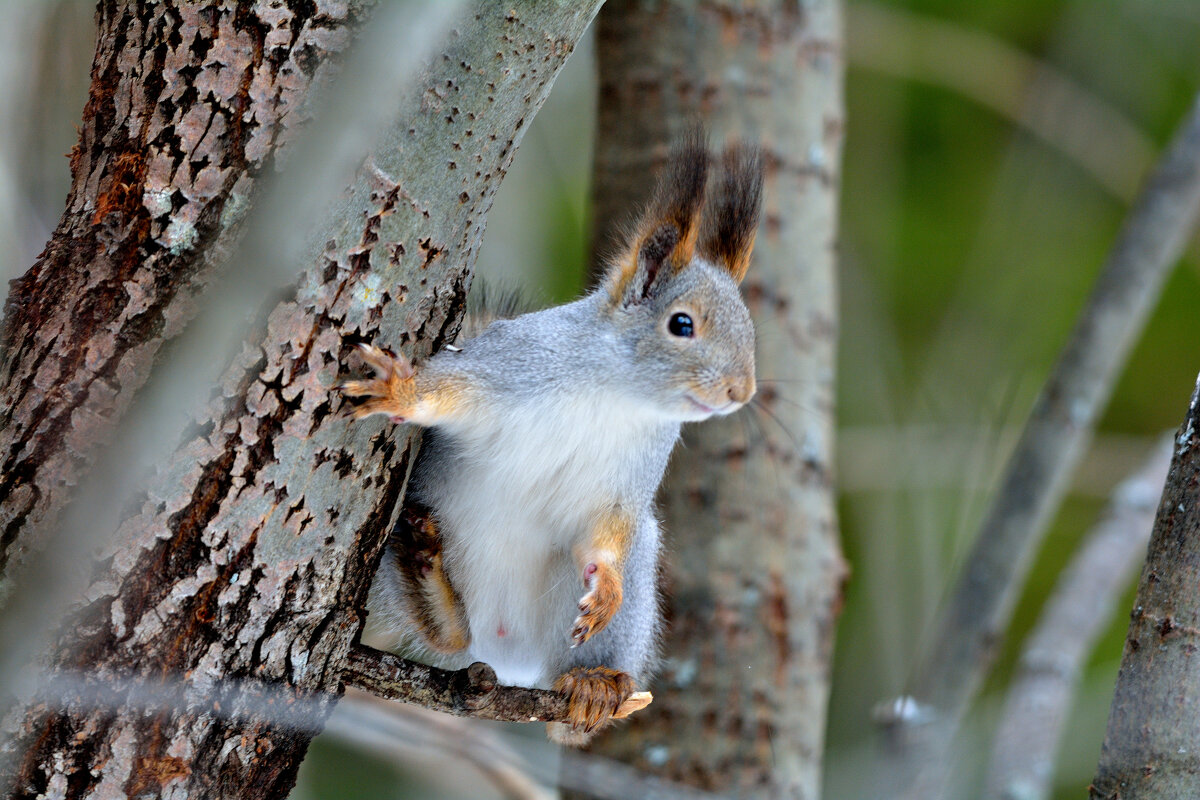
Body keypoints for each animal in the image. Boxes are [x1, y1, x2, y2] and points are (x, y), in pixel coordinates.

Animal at [338, 134, 763, 748]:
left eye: (750, 330)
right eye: (681, 325)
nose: (741, 390)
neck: (615, 397)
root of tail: (504, 650)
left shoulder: (623, 483)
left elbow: (605, 535)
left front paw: (605, 587)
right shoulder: (509, 367)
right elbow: (448, 392)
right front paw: (403, 390)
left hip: (626, 584)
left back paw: (593, 686)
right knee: (447, 639)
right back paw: (428, 580)